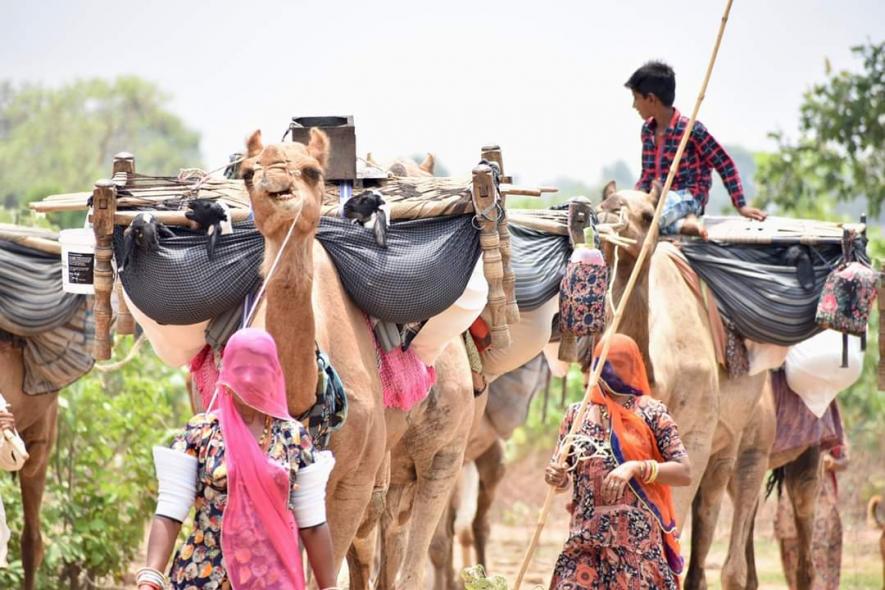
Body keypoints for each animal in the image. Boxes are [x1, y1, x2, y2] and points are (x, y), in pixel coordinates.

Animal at [596, 183, 772, 588]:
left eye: (649, 215)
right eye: (600, 206)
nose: (610, 209)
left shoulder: (695, 437)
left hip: (745, 441)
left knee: (724, 515)